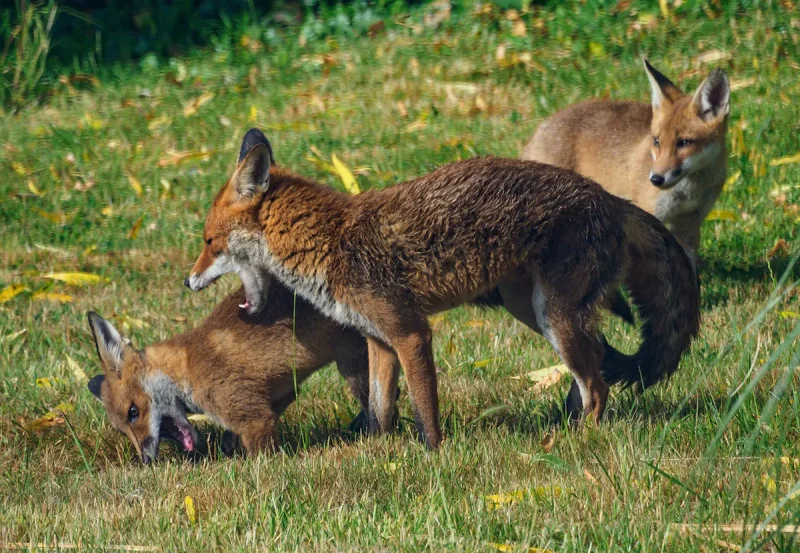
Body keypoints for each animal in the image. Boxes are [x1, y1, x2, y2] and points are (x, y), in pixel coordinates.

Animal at [86, 284, 374, 462]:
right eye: (122, 430)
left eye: (133, 412)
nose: (146, 460)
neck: (187, 367)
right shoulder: (280, 394)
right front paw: (229, 445)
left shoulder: (252, 415)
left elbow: (263, 455)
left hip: (353, 365)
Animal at [186, 129, 700, 448]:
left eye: (209, 242)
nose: (187, 281)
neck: (331, 242)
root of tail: (612, 199)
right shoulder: (378, 339)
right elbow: (380, 410)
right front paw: (380, 452)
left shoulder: (411, 333)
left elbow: (423, 409)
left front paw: (433, 455)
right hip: (534, 311)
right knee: (594, 367)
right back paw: (562, 423)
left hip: (554, 315)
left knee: (597, 386)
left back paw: (574, 440)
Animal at [520, 60, 728, 268]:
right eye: (657, 141)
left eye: (684, 143)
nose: (656, 179)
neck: (688, 193)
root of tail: (541, 127)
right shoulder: (650, 218)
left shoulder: (689, 226)